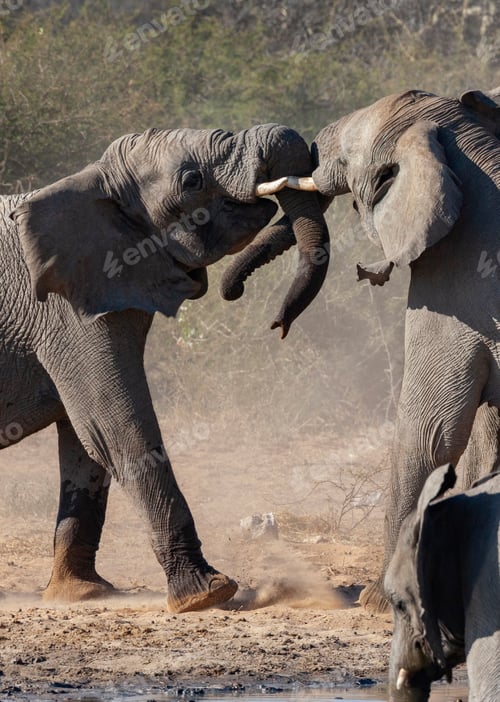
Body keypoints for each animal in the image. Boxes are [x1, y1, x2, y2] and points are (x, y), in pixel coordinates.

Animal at [1, 123, 329, 612]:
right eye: (192, 181)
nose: (278, 324)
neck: (94, 181)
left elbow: (86, 443)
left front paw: (81, 594)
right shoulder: (63, 312)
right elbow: (114, 427)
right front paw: (206, 594)